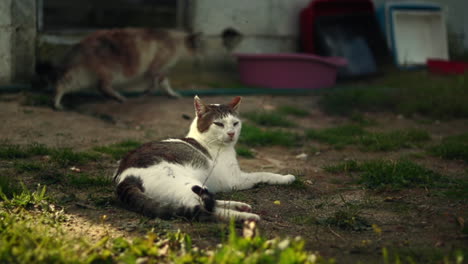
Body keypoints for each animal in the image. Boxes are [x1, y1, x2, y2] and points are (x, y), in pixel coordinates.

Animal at [53, 28, 243, 110]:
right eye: (201, 48)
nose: (202, 55)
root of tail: (81, 43)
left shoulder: (160, 70)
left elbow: (164, 84)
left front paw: (171, 94)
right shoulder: (157, 67)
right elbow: (155, 83)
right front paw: (146, 94)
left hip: (87, 74)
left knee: (68, 82)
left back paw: (57, 102)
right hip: (112, 70)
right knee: (101, 86)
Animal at [114, 96, 296, 221]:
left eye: (235, 123)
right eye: (219, 124)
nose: (231, 133)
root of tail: (125, 178)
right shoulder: (235, 179)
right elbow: (263, 174)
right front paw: (286, 177)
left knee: (208, 202)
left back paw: (238, 206)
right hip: (185, 184)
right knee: (205, 210)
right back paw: (245, 217)